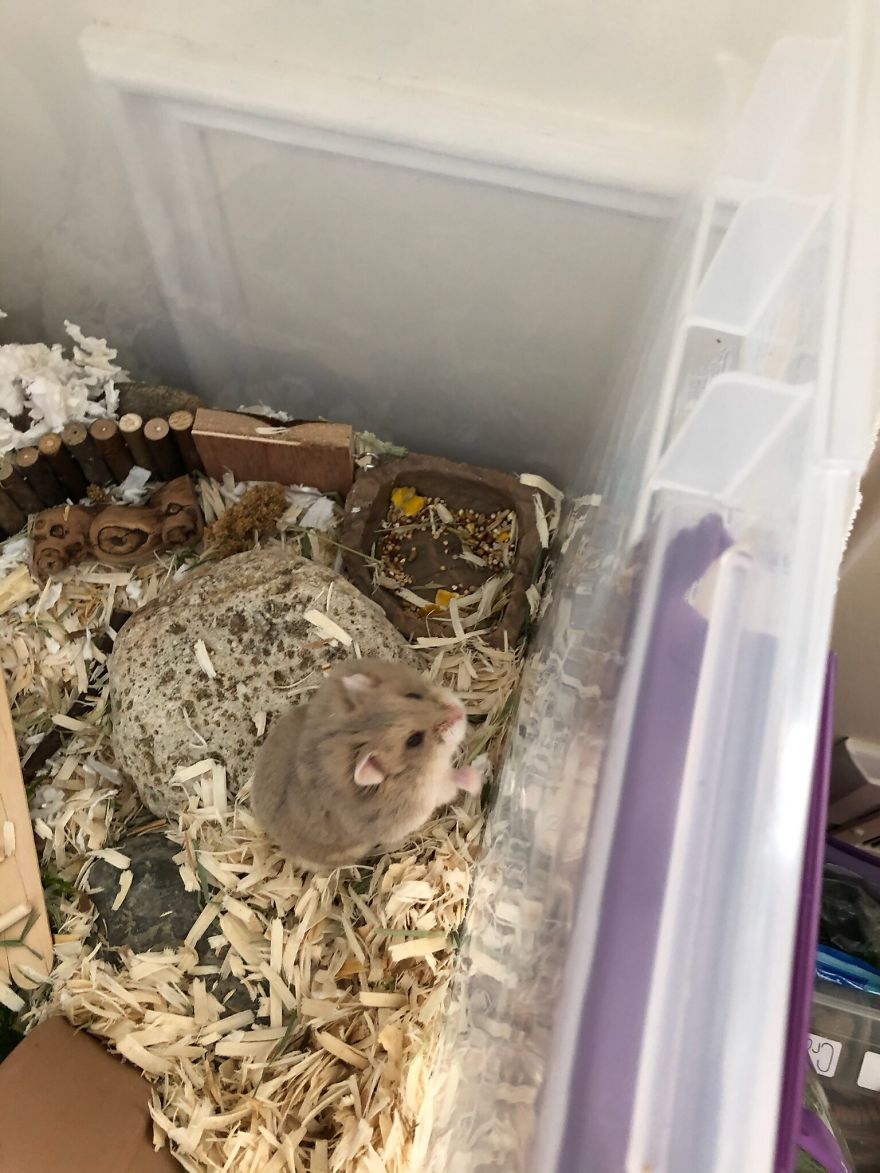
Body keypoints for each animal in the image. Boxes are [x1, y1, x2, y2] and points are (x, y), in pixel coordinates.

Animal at [251, 657, 482, 869]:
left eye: (413, 695)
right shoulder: (429, 793)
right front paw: (478, 776)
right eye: (414, 740)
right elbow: (453, 783)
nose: (459, 711)